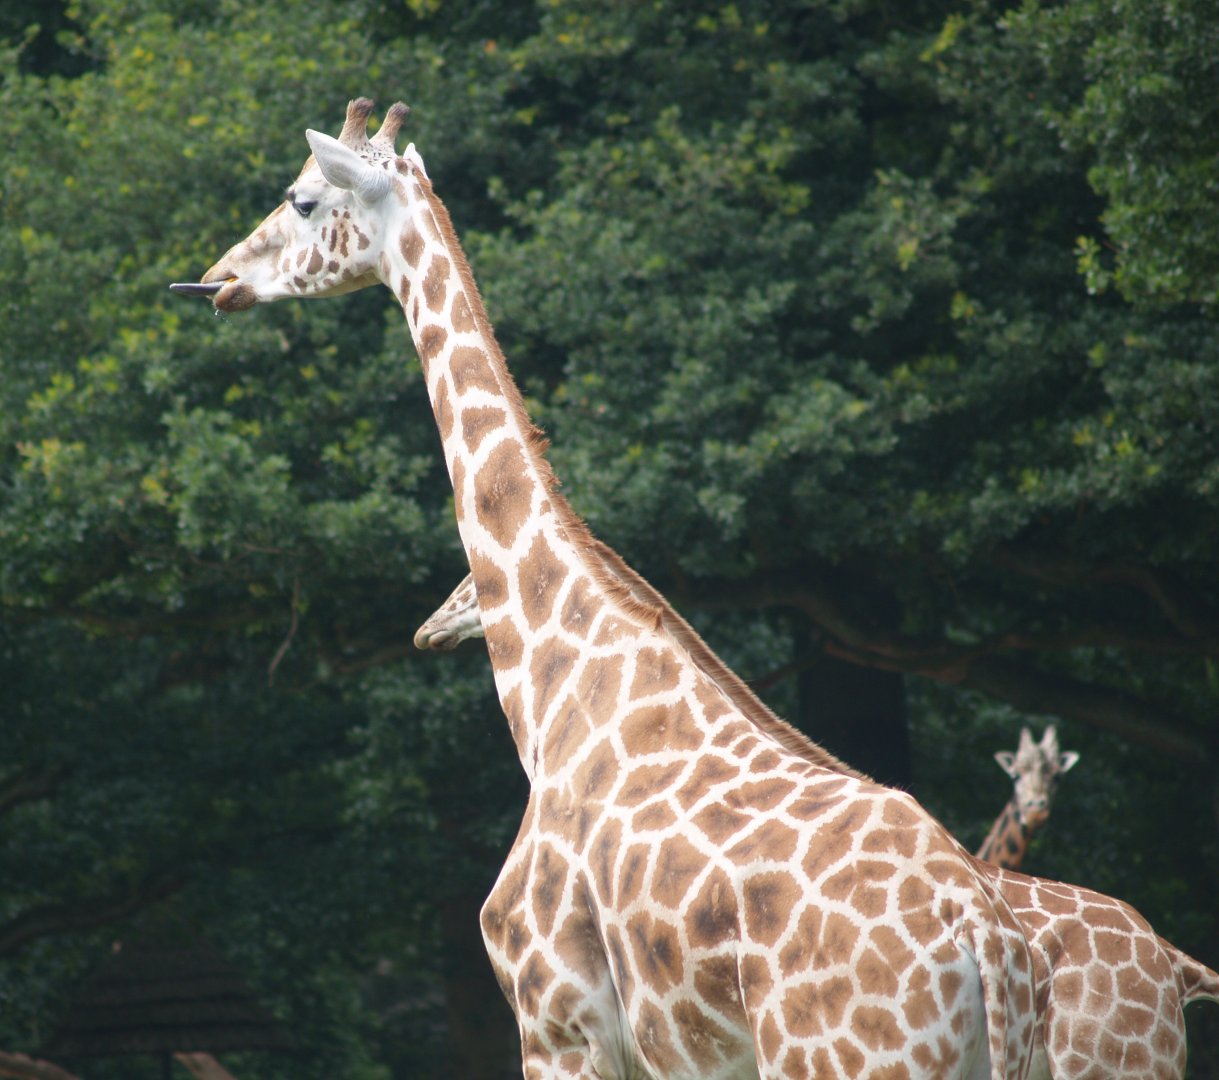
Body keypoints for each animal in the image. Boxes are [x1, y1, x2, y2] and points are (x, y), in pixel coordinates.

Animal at [172, 97, 1041, 1080]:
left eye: (305, 199)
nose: (217, 280)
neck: (551, 692)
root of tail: (984, 943)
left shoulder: (556, 1020)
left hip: (839, 1058)